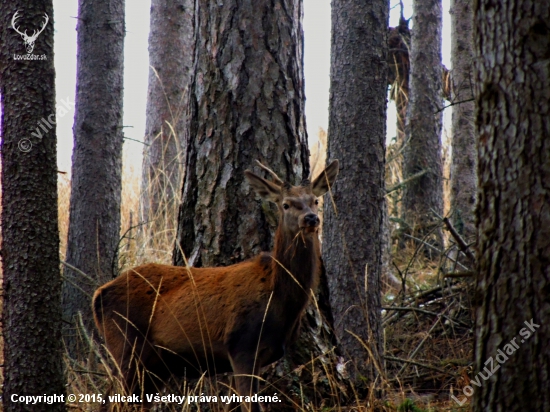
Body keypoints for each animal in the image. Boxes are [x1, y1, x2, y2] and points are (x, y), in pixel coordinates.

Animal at [92, 159, 338, 410]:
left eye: (315, 201)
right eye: (286, 205)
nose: (311, 218)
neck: (278, 299)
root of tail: (99, 294)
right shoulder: (241, 344)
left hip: (156, 366)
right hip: (126, 346)